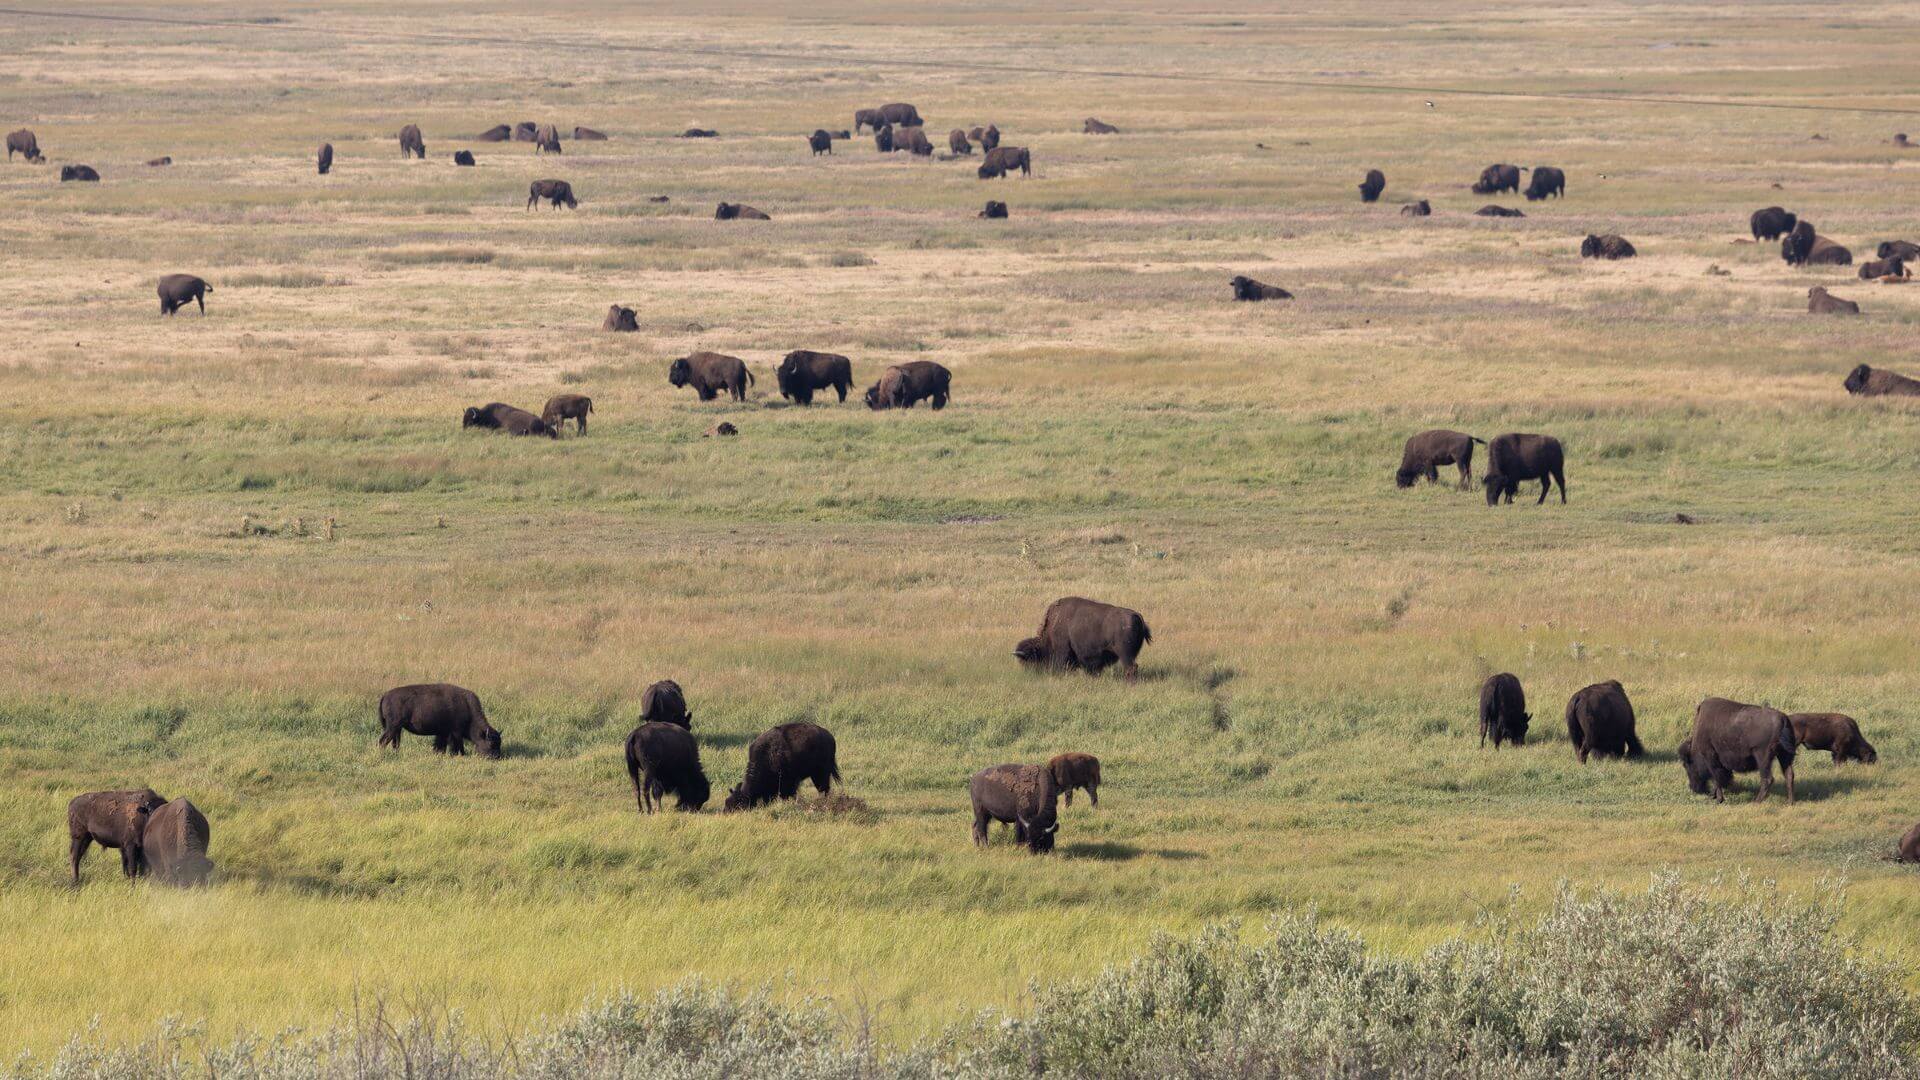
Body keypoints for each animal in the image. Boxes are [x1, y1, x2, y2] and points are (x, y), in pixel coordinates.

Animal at [1014, 596, 1152, 682]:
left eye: (1028, 660)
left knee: (1131, 667)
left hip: (1125, 654)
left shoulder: (1062, 652)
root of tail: (1136, 615)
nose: (1030, 674)